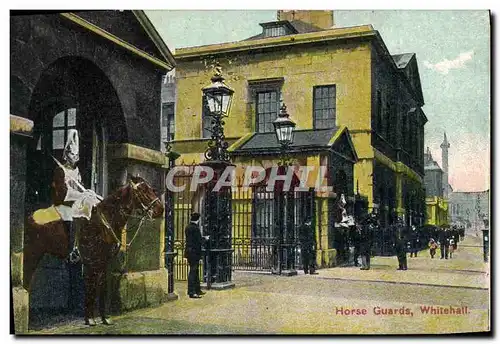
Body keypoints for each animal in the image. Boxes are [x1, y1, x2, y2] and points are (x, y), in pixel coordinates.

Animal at [23, 176, 164, 326]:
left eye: (151, 189)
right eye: (142, 190)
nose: (160, 209)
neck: (104, 221)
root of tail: (29, 217)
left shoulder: (106, 261)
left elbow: (103, 285)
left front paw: (105, 317)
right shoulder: (92, 261)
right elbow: (91, 286)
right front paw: (90, 319)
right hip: (32, 255)